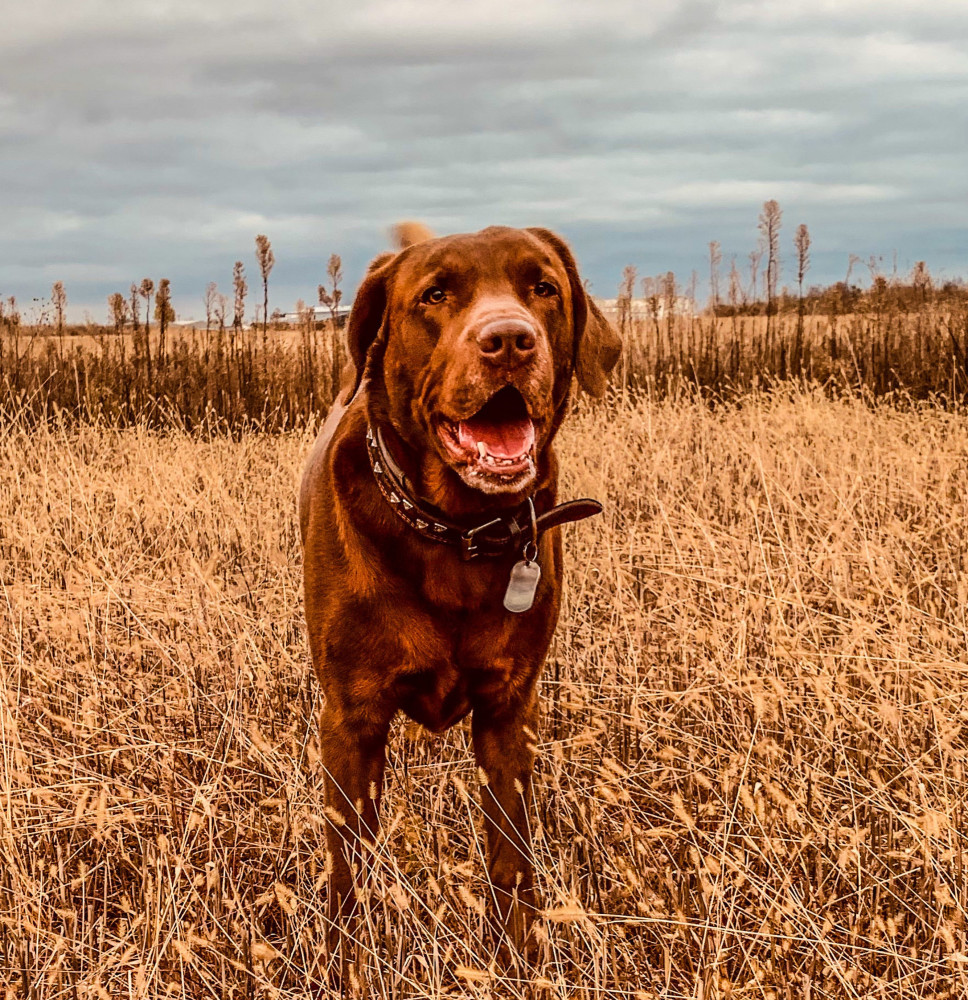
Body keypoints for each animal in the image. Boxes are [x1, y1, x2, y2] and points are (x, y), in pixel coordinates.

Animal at [298, 225, 624, 960]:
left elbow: (511, 861)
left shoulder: (509, 710)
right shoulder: (349, 719)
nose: (509, 340)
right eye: (435, 294)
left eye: (543, 287)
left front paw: (517, 960)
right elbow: (347, 876)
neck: (456, 532)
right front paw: (348, 964)